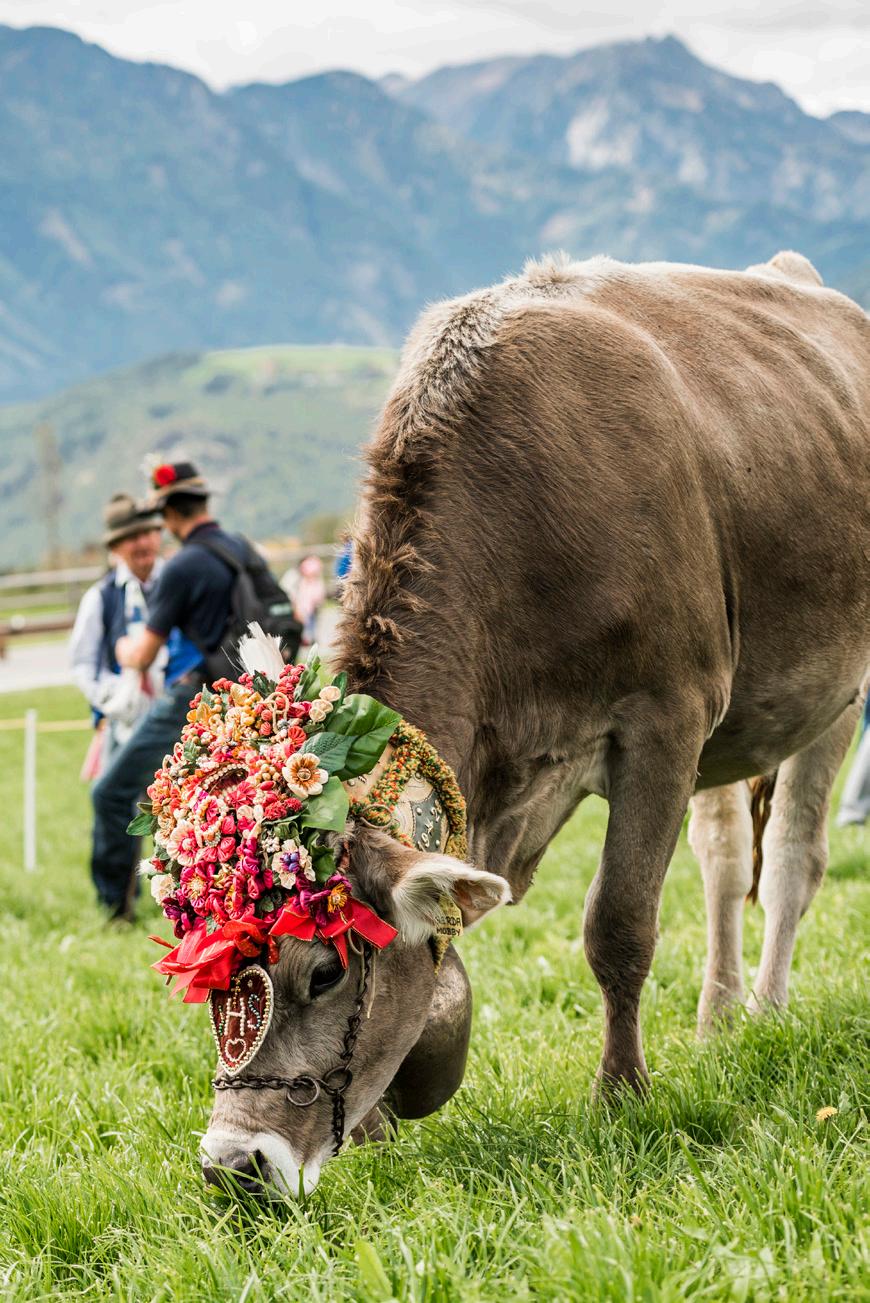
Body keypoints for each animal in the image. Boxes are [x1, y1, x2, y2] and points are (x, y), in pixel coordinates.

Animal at [203, 251, 868, 1198]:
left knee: (789, 862)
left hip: (836, 691)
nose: (231, 1166)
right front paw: (372, 1128)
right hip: (735, 730)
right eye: (208, 982)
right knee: (725, 858)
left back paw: (770, 1012)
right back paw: (718, 1019)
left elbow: (617, 923)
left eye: (325, 970)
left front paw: (621, 1093)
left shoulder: (665, 719)